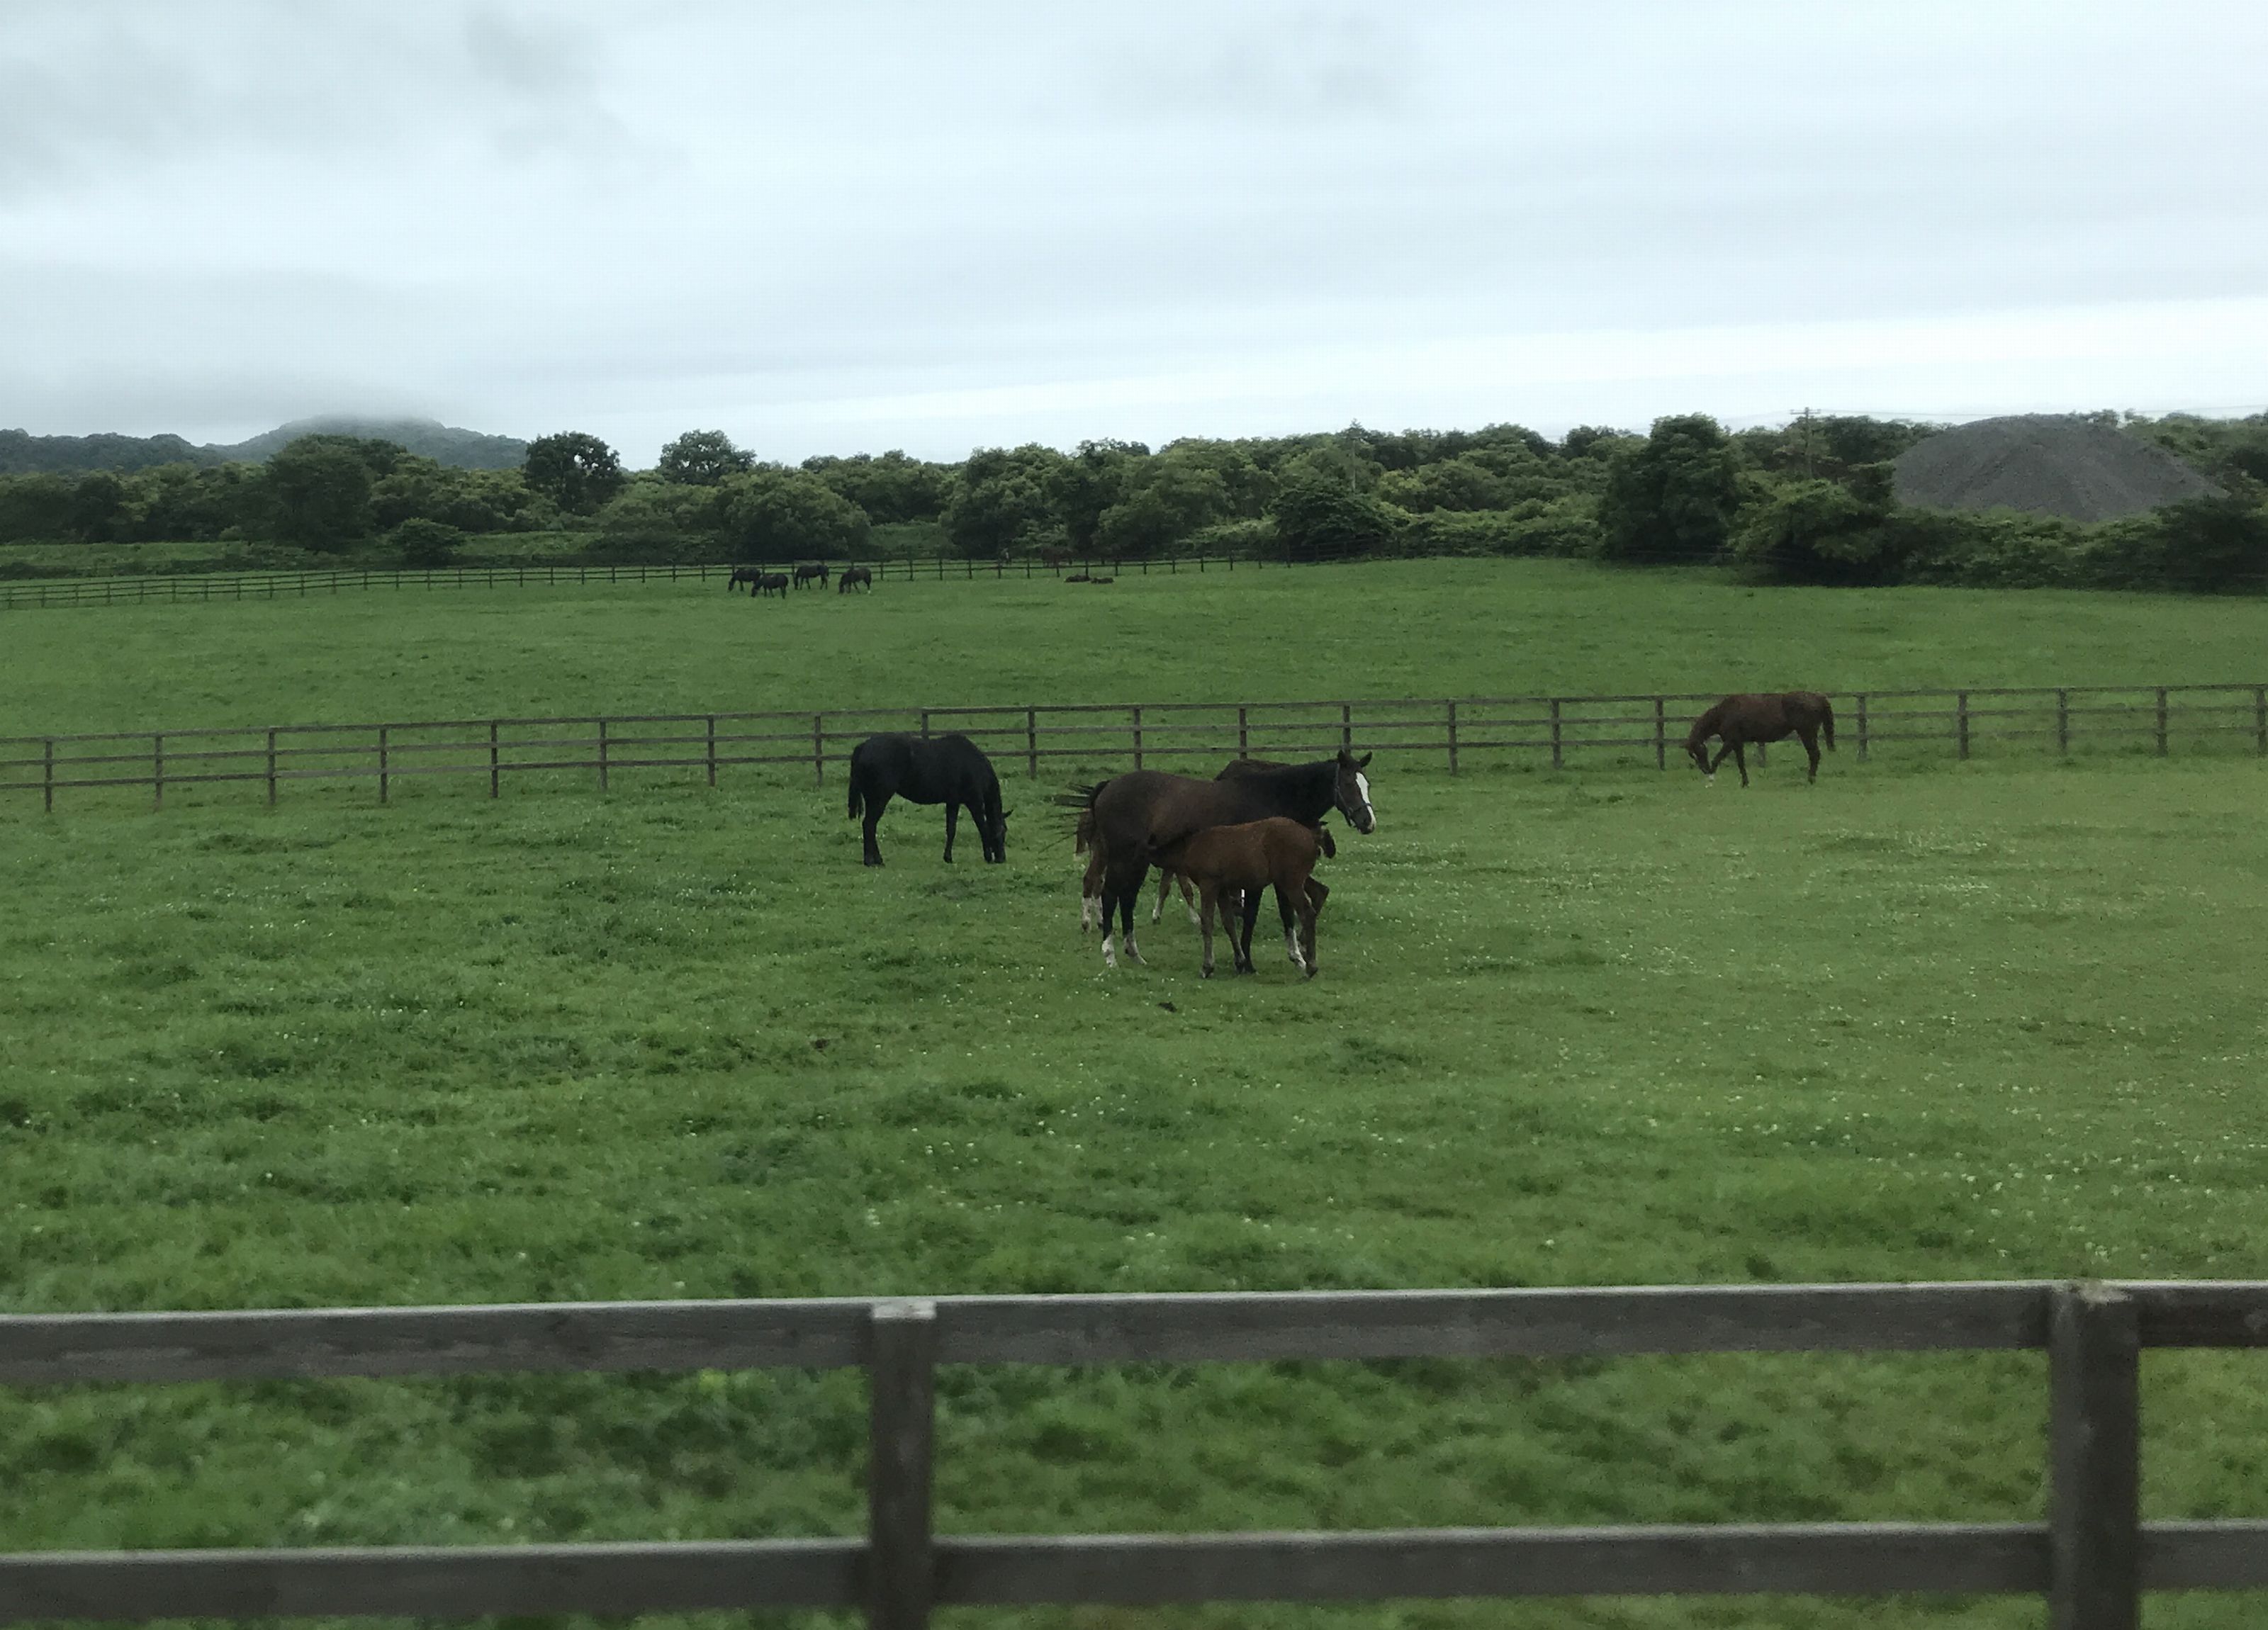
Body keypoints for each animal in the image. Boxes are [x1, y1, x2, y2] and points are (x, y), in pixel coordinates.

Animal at [848, 734, 1006, 865]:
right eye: (1002, 831)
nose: (1001, 858)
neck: (973, 764)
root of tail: (864, 747)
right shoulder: (974, 802)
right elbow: (982, 827)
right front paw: (988, 856)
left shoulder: (953, 802)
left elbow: (951, 829)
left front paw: (948, 858)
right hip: (879, 798)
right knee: (869, 825)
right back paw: (871, 861)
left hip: (872, 799)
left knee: (870, 825)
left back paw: (877, 860)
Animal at [1152, 820, 1324, 974]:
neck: (1191, 846)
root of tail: (1311, 837)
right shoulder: (1221, 889)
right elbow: (1229, 922)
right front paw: (1240, 961)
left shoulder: (1208, 884)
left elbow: (1207, 923)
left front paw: (1207, 967)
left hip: (1291, 884)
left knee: (1307, 913)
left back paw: (1311, 966)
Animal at [1687, 693, 1841, 789]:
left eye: (1698, 751)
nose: (1705, 769)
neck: (1725, 713)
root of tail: (1818, 697)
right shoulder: (1738, 743)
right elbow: (1741, 764)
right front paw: (1745, 783)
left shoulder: (1731, 741)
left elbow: (1717, 759)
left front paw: (1710, 781)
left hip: (1807, 734)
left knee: (1814, 755)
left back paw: (1811, 780)